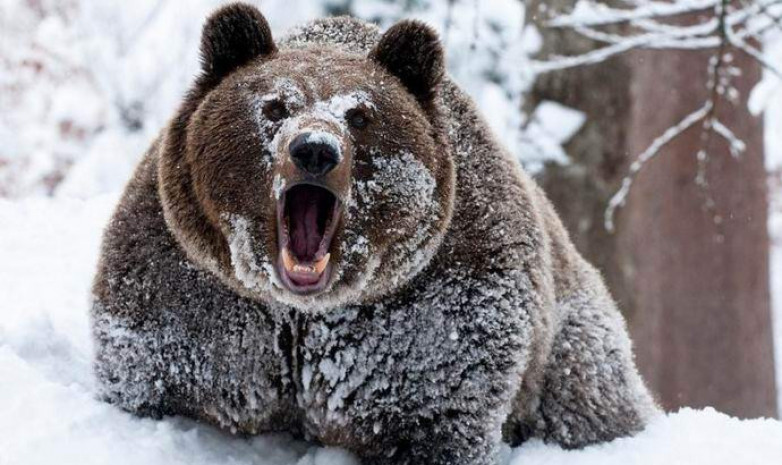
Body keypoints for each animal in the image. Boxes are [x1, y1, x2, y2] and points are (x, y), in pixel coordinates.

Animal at [89, 4, 660, 464]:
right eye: (274, 106)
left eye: (361, 114)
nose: (314, 149)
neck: (302, 313)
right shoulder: (193, 293)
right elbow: (154, 373)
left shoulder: (433, 311)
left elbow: (436, 410)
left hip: (572, 343)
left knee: (589, 397)